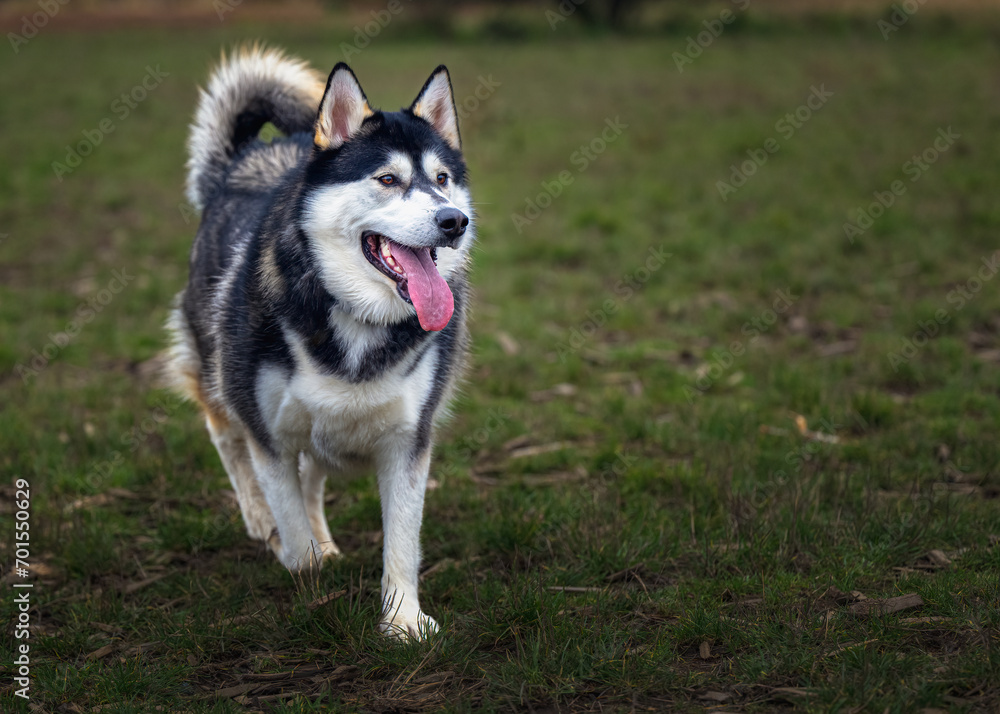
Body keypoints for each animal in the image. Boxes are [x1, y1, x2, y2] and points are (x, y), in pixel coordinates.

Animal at [166, 48, 474, 640]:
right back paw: (260, 519)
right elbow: (290, 523)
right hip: (218, 371)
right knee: (226, 436)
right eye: (387, 178)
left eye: (442, 179)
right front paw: (308, 582)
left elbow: (403, 542)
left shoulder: (408, 439)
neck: (354, 313)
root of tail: (250, 156)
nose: (454, 220)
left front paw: (403, 621)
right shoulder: (267, 433)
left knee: (310, 474)